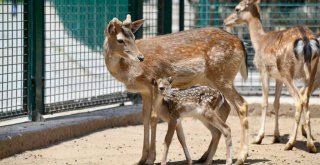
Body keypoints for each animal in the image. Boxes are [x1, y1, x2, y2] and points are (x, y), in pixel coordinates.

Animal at [104, 14, 249, 164]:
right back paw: (205, 156)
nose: (140, 57)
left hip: (222, 76)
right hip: (212, 81)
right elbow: (144, 118)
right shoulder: (144, 92)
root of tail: (241, 43)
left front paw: (151, 158)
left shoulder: (152, 84)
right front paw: (141, 160)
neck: (130, 71)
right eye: (120, 40)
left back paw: (241, 156)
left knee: (241, 104)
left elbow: (153, 118)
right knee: (226, 107)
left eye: (133, 37)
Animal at [225, 0, 320, 153]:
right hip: (311, 73)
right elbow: (277, 103)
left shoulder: (264, 70)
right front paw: (276, 137)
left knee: (298, 100)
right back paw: (311, 145)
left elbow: (265, 102)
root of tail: (306, 41)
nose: (225, 21)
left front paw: (258, 138)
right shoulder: (278, 77)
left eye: (237, 8)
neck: (259, 42)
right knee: (305, 99)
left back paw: (290, 143)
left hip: (287, 71)